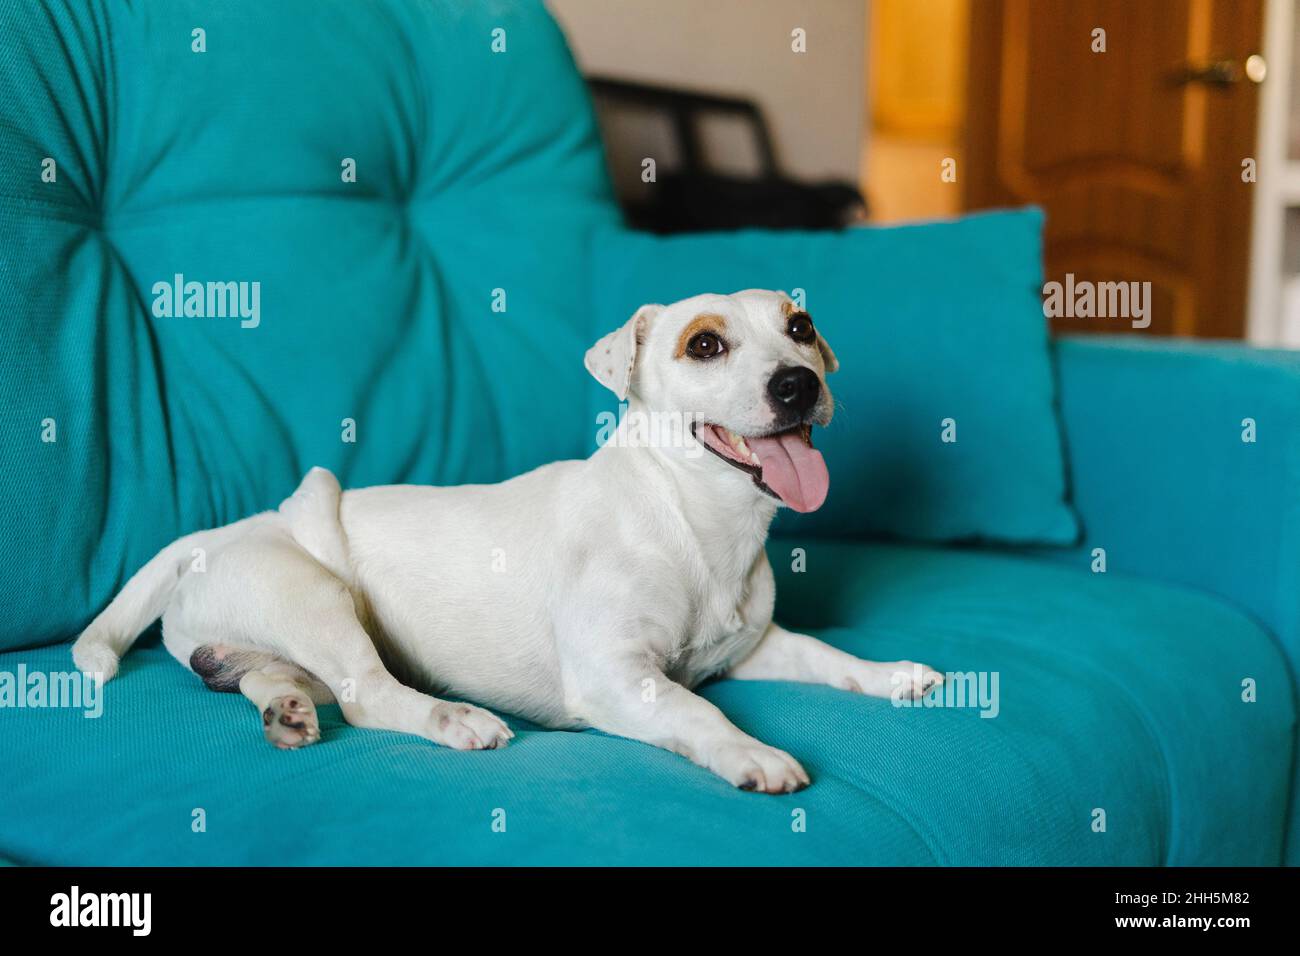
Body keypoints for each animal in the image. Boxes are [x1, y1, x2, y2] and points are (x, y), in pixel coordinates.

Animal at [76, 290, 941, 790]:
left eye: (802, 328)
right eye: (704, 345)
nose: (800, 382)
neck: (692, 521)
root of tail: (220, 531)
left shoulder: (753, 649)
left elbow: (827, 658)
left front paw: (890, 674)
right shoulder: (618, 678)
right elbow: (698, 713)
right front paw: (749, 752)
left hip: (281, 648)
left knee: (284, 682)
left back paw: (285, 710)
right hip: (319, 599)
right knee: (370, 696)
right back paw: (450, 721)